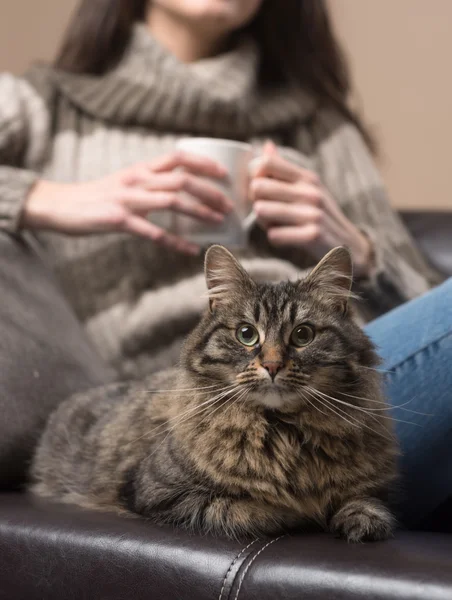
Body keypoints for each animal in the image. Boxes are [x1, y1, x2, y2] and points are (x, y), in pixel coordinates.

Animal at [31, 246, 398, 540]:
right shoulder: (159, 494)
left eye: (303, 335)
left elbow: (364, 501)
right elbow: (245, 510)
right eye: (247, 334)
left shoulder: (371, 485)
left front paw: (359, 520)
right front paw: (297, 513)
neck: (283, 434)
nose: (272, 365)